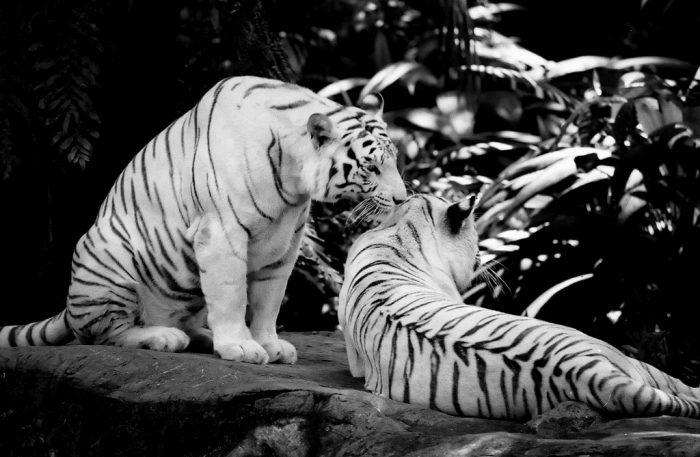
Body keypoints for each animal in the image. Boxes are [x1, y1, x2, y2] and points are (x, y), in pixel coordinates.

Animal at [0, 76, 407, 364]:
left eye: (395, 161)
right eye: (371, 167)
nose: (403, 199)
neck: (295, 182)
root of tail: (69, 306)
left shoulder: (285, 246)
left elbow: (269, 300)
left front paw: (268, 344)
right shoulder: (222, 233)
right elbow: (231, 294)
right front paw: (242, 348)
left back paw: (203, 337)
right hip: (106, 255)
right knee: (105, 333)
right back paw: (162, 337)